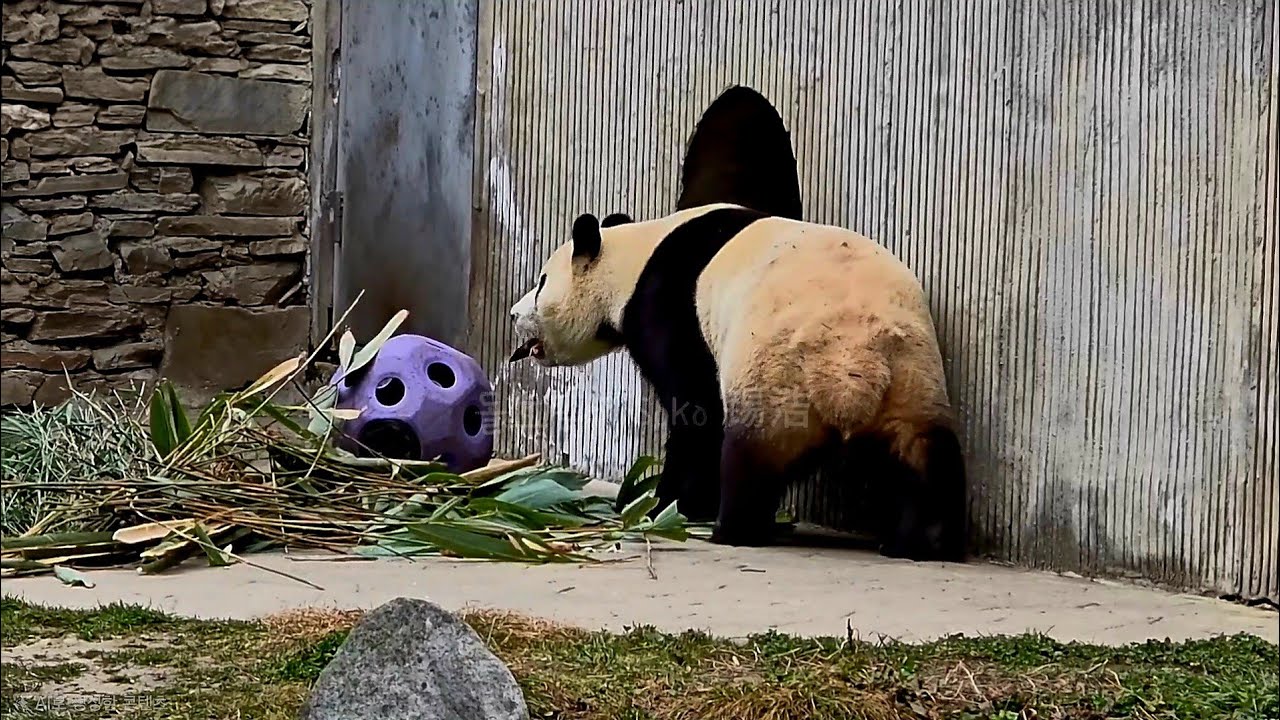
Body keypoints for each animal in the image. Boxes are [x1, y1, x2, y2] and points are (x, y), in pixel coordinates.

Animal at [508, 203, 967, 562]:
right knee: (926, 457)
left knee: (749, 455)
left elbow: (694, 407)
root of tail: (852, 368)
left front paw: (661, 504)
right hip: (911, 376)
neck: (635, 256)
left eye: (542, 282)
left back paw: (732, 528)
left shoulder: (670, 305)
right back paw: (923, 540)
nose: (513, 314)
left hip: (776, 380)